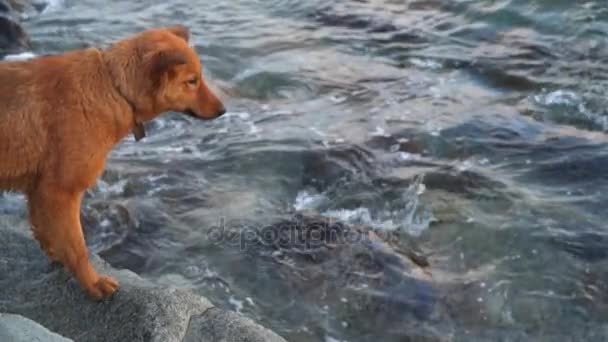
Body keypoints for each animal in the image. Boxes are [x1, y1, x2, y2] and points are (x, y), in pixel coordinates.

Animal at [0, 26, 226, 300]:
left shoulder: (39, 191)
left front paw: (57, 258)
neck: (113, 87)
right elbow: (79, 248)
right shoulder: (60, 192)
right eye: (192, 81)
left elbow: (49, 235)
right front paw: (93, 283)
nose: (223, 110)